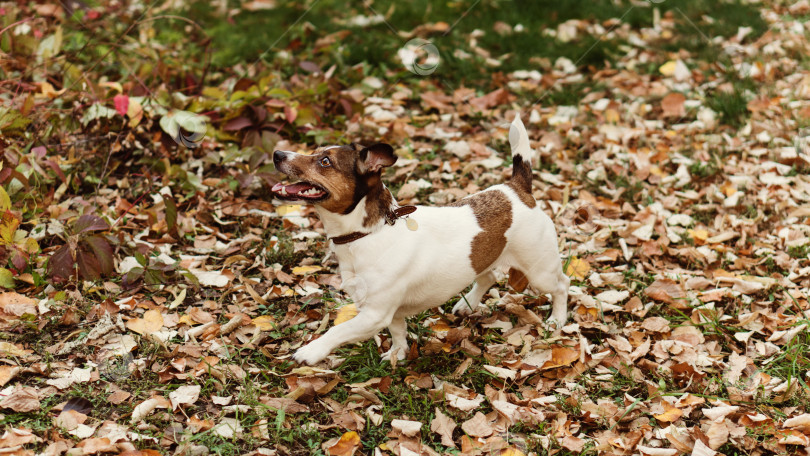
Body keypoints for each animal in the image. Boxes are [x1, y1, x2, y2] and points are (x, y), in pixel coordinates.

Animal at [272, 114, 568, 366]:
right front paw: (398, 353)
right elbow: (398, 331)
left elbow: (339, 330)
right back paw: (467, 304)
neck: (369, 234)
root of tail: (516, 189)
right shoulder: (389, 312)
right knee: (488, 276)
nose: (277, 154)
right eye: (315, 151)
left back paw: (557, 319)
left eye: (325, 161)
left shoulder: (374, 314)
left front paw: (311, 351)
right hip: (483, 257)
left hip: (540, 270)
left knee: (562, 285)